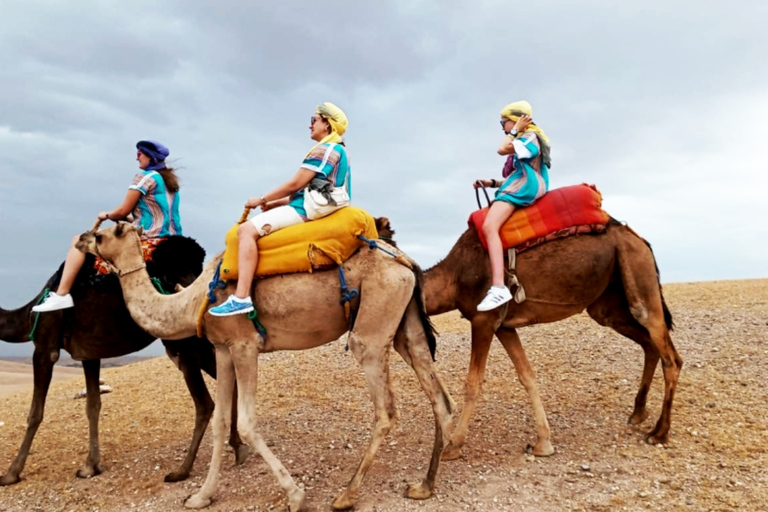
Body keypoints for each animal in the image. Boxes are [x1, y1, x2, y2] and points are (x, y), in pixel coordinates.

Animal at [0, 238, 246, 486]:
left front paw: (11, 473)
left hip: (184, 342)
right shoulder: (88, 353)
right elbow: (93, 405)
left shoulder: (44, 346)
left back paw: (182, 470)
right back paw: (238, 448)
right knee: (230, 381)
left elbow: (35, 413)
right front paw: (90, 466)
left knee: (205, 402)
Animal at [76, 221, 456, 512]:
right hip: (405, 323)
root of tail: (405, 261)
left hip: (373, 325)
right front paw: (201, 496)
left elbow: (245, 423)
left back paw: (347, 495)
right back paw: (424, 485)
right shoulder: (223, 348)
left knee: (385, 409)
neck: (192, 300)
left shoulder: (245, 346)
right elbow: (220, 422)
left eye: (103, 234)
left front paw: (296, 495)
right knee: (438, 395)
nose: (80, 238)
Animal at [376, 216, 680, 460]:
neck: (454, 276)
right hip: (608, 303)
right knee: (649, 345)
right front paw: (543, 443)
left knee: (669, 354)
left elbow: (473, 383)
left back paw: (660, 432)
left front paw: (454, 446)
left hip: (636, 271)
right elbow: (527, 375)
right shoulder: (503, 326)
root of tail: (639, 239)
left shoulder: (483, 319)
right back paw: (638, 413)